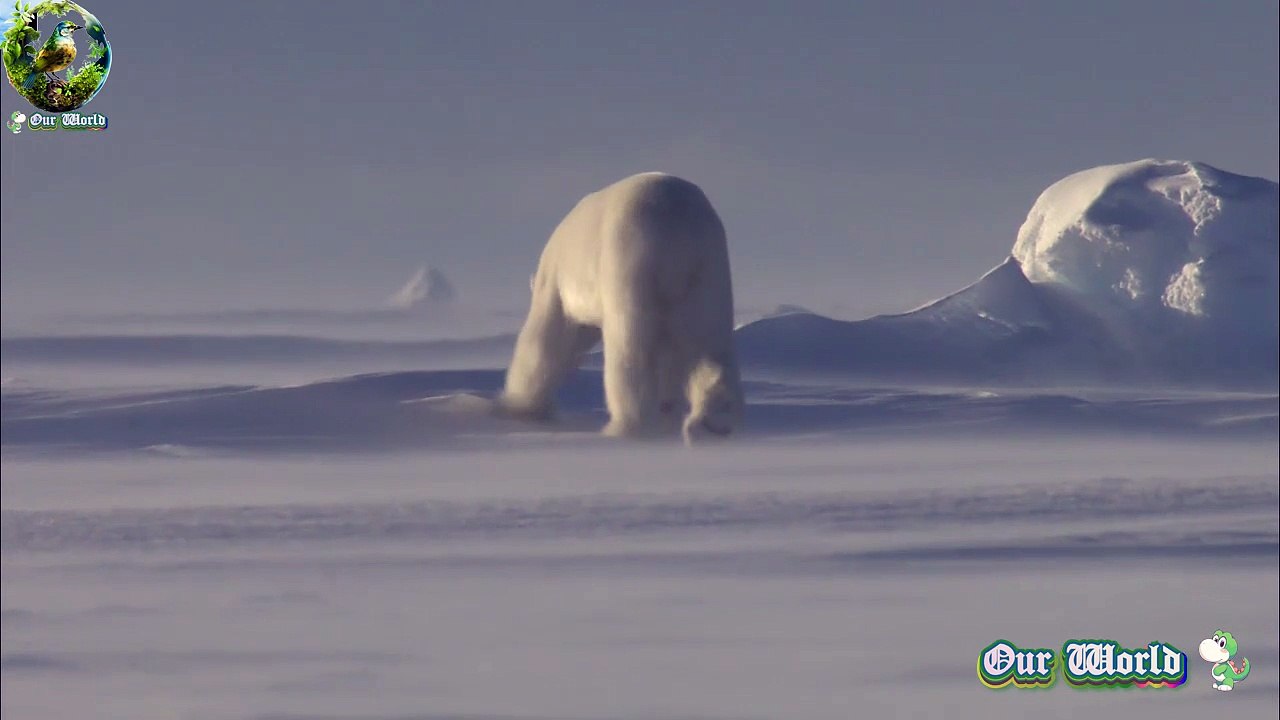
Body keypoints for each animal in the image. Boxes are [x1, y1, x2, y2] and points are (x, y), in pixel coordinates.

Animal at [499, 172, 744, 443]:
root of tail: (677, 225)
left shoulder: (554, 280)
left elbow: (545, 339)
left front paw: (519, 407)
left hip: (630, 256)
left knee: (629, 347)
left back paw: (625, 426)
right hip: (708, 270)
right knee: (710, 339)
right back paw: (713, 422)